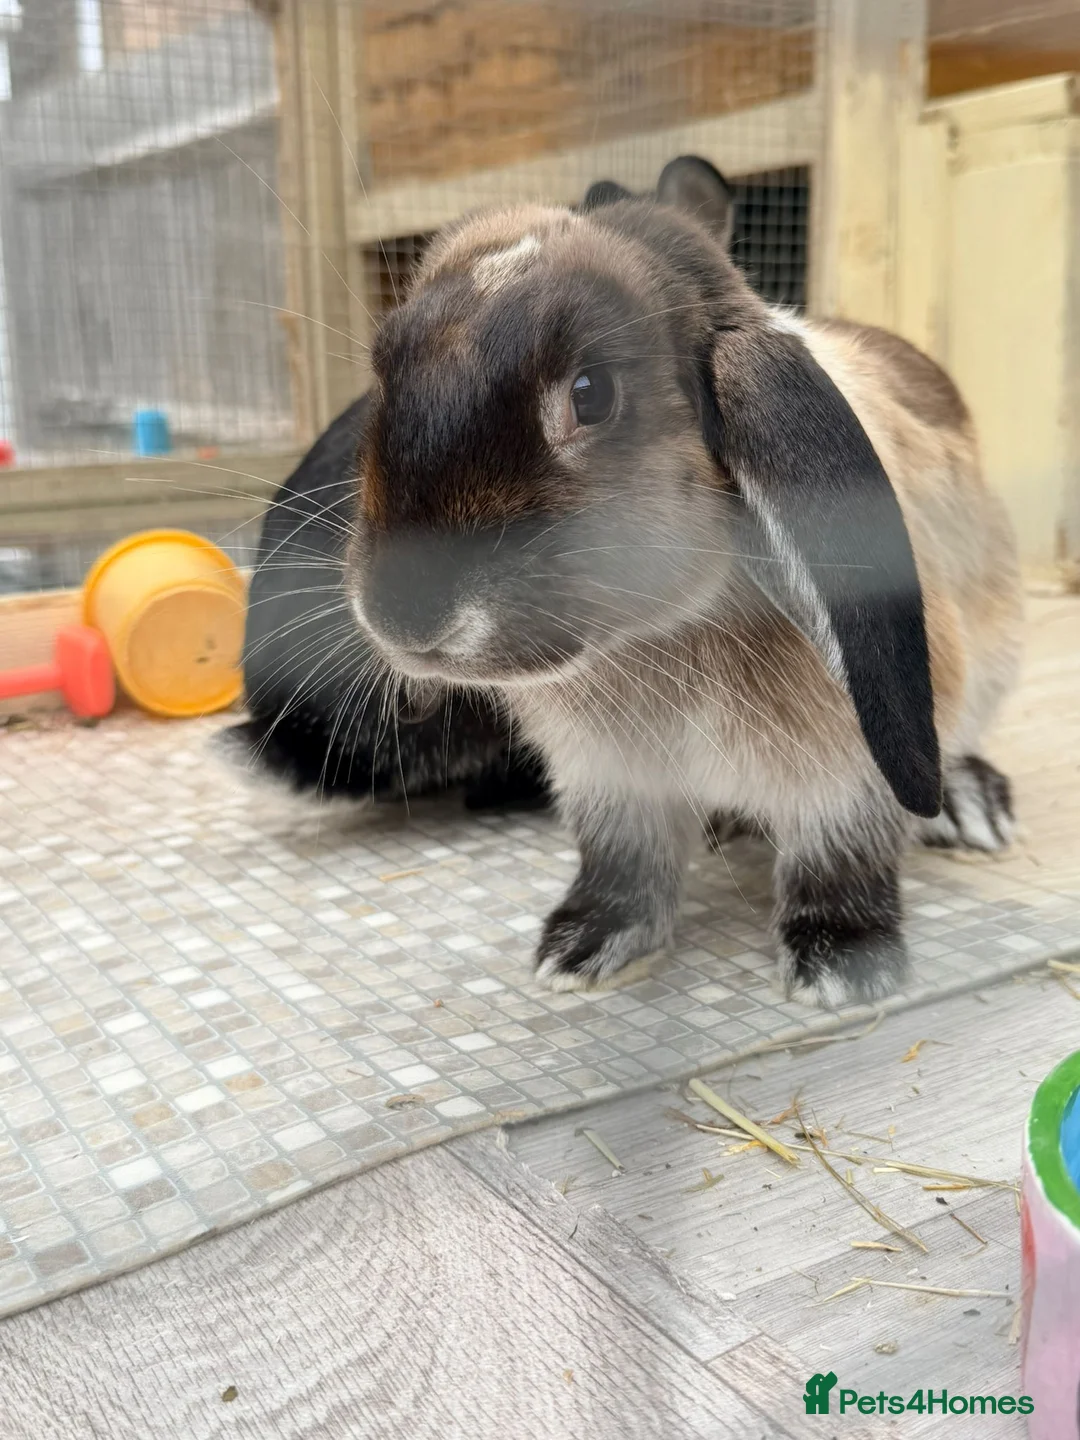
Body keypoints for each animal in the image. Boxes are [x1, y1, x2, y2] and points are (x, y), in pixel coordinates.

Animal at [336, 153, 1021, 1008]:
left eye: (591, 393)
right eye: (386, 365)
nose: (404, 617)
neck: (667, 631)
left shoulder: (848, 770)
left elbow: (839, 853)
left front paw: (844, 967)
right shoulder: (611, 782)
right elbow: (625, 862)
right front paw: (581, 946)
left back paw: (969, 805)